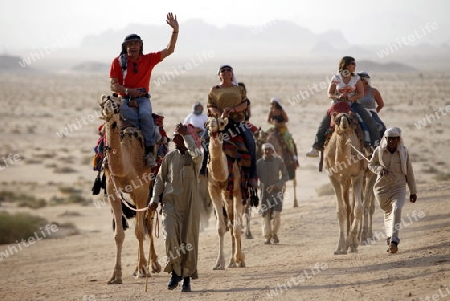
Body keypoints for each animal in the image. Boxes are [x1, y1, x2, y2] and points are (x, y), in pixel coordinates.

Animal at [97, 94, 162, 284]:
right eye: (102, 104)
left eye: (117, 106)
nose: (108, 112)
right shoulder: (113, 192)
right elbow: (118, 234)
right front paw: (115, 275)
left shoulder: (141, 191)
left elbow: (139, 231)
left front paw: (142, 270)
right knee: (146, 222)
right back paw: (146, 265)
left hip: (150, 188)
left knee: (148, 222)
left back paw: (151, 266)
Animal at [205, 116, 244, 268]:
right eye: (206, 123)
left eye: (221, 122)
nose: (212, 125)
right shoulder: (213, 189)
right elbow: (221, 228)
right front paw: (219, 263)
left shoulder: (237, 190)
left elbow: (237, 227)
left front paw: (239, 258)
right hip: (226, 198)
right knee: (231, 223)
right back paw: (231, 262)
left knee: (236, 223)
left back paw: (238, 260)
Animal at [324, 112, 366, 253]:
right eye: (336, 120)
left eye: (351, 119)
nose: (343, 120)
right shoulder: (333, 176)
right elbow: (340, 210)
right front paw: (340, 247)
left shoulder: (358, 175)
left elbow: (358, 208)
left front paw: (352, 241)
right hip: (345, 181)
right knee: (347, 207)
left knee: (356, 206)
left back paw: (357, 241)